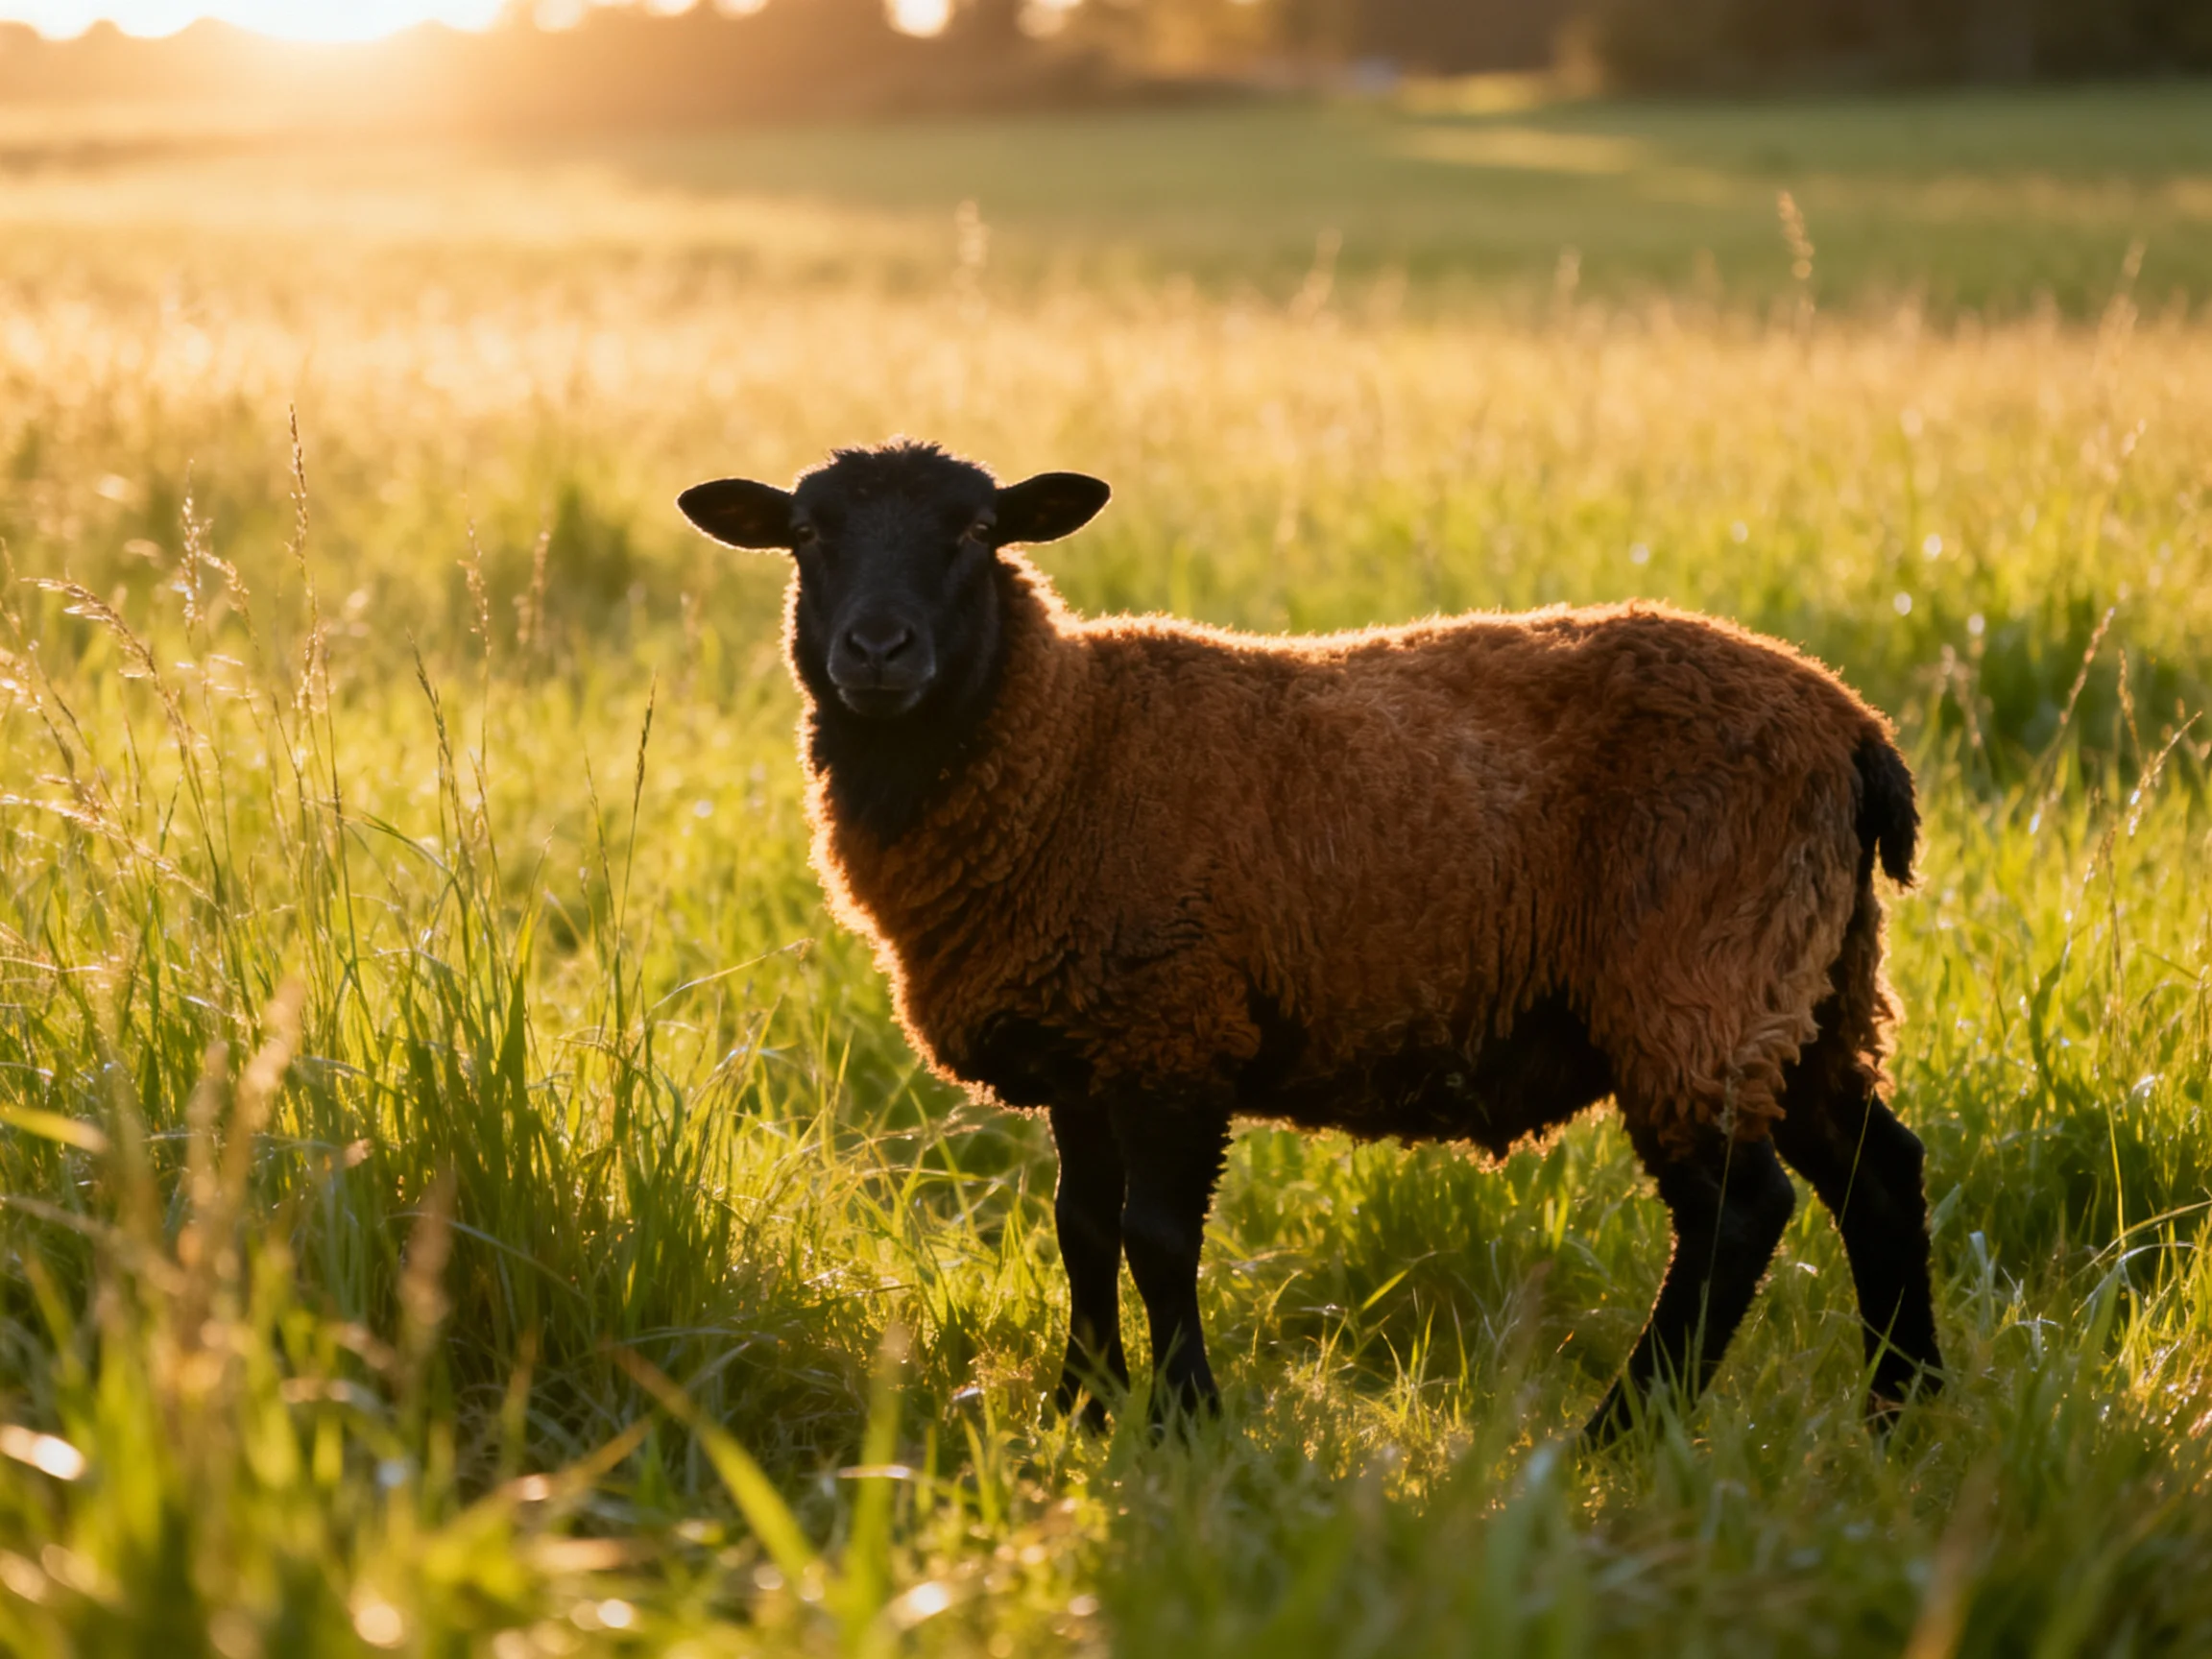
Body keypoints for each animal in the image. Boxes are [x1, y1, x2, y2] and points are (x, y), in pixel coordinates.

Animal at [677, 439, 1943, 1441]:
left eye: (979, 531)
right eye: (804, 533)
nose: (877, 650)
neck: (1065, 744)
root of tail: (1854, 732)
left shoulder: (1175, 1026)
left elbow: (1154, 1236)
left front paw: (1186, 1418)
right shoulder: (1084, 1042)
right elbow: (1080, 1230)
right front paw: (1084, 1405)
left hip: (1698, 978)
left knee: (1738, 1214)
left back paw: (1621, 1435)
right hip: (1811, 981)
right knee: (1880, 1173)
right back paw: (1905, 1415)